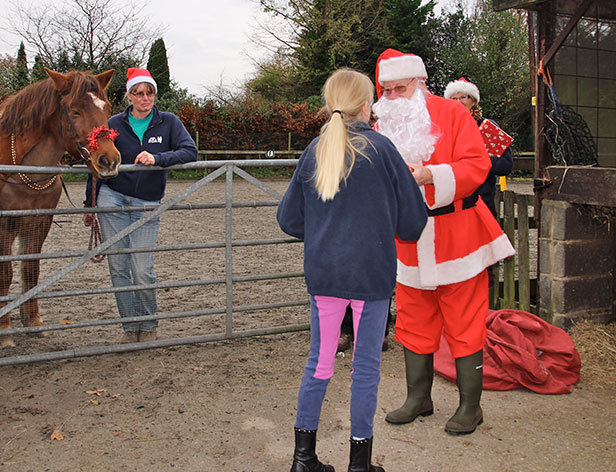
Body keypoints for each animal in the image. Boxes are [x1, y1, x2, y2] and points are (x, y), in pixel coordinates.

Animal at [0, 68, 121, 348]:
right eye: (75, 111)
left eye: (107, 108)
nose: (109, 161)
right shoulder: (3, 225)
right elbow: (5, 274)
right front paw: (4, 330)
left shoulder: (39, 222)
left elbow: (30, 269)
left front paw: (33, 322)